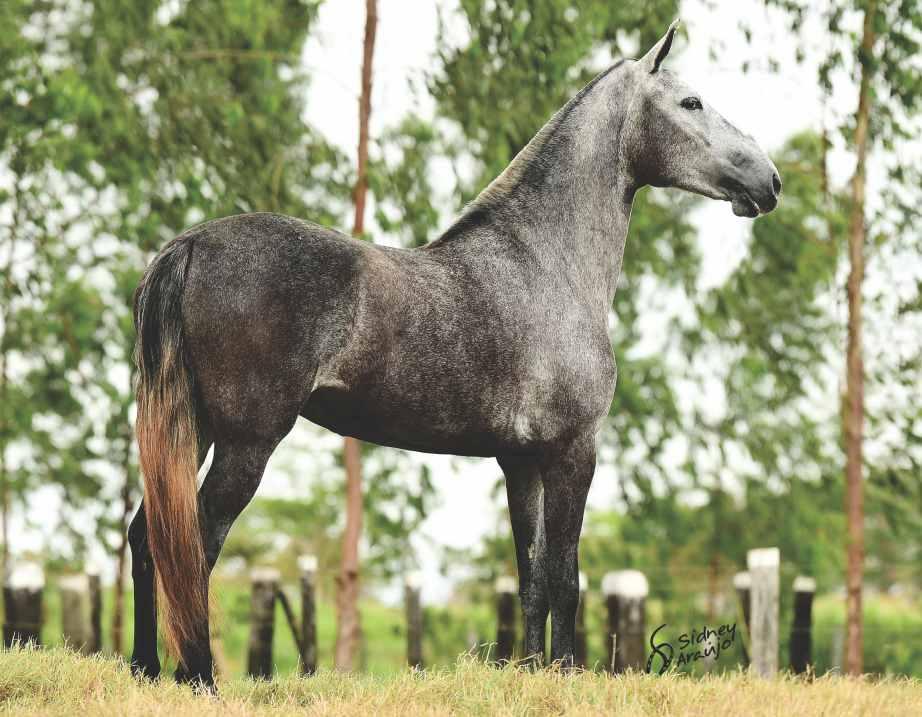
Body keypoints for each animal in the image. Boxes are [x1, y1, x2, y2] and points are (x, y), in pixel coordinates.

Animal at [129, 19, 776, 684]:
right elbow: (566, 576)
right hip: (246, 442)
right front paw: (566, 675)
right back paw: (198, 677)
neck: (544, 263)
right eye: (691, 102)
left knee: (147, 538)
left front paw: (530, 673)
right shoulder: (574, 451)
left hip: (196, 427)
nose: (768, 181)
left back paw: (145, 669)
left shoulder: (521, 463)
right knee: (197, 541)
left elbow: (531, 577)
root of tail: (190, 245)